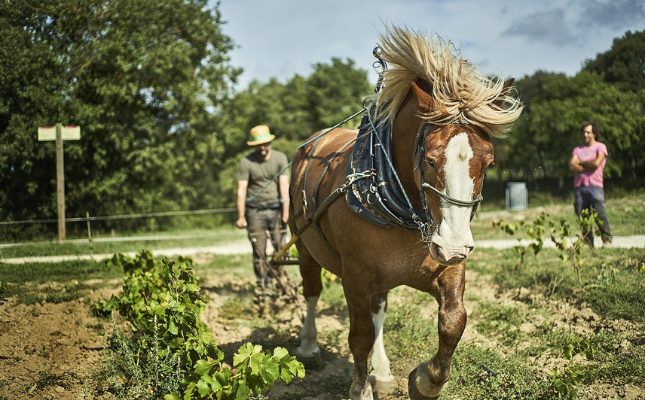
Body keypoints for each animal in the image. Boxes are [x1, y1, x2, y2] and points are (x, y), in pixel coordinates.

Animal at [290, 25, 520, 400]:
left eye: (488, 163)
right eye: (430, 159)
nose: (453, 246)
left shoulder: (445, 268)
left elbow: (454, 320)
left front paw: (426, 381)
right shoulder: (355, 277)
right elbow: (359, 336)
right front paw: (360, 389)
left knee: (379, 312)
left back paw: (382, 372)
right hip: (304, 244)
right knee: (311, 289)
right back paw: (309, 344)